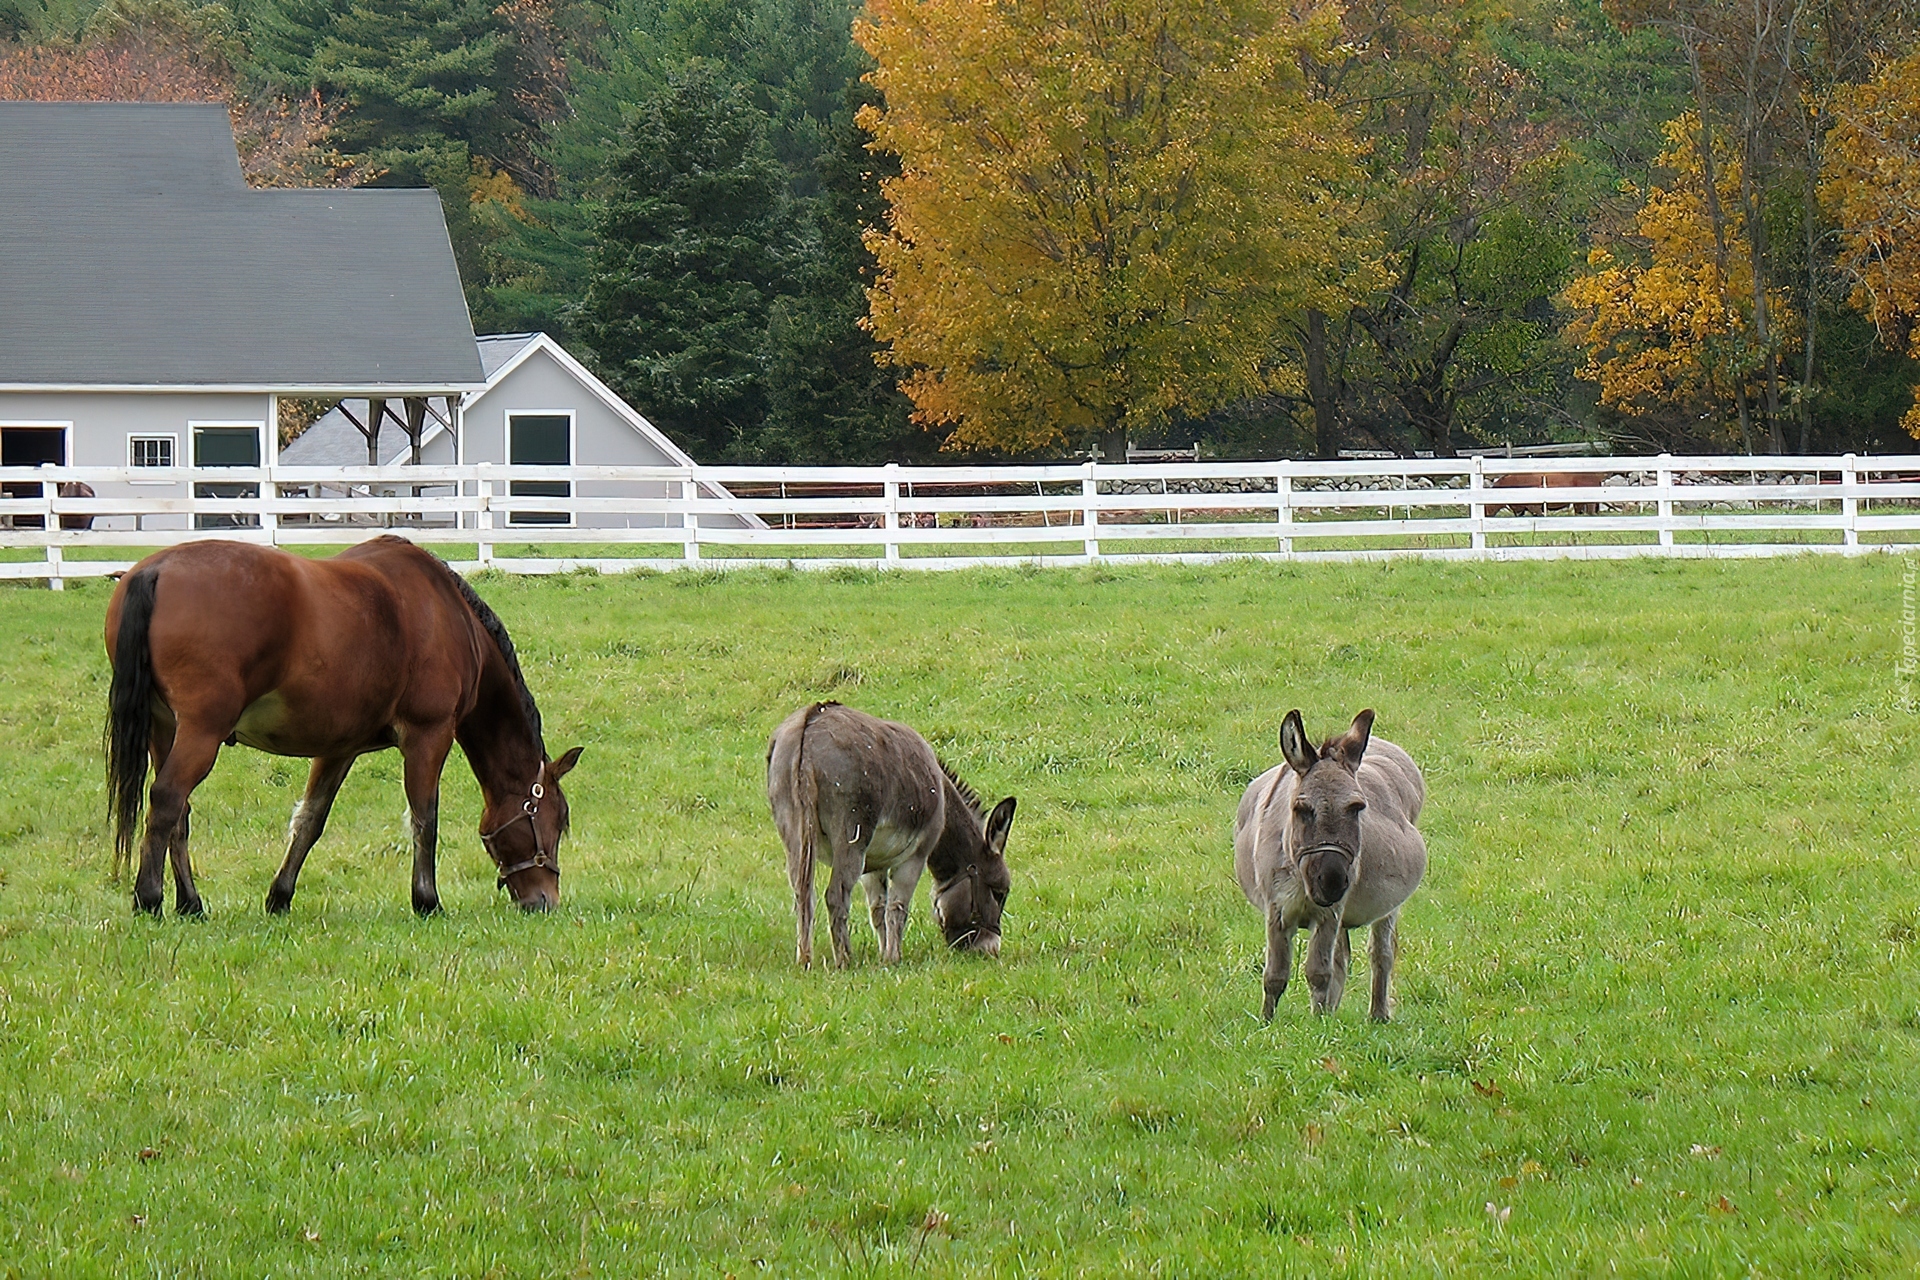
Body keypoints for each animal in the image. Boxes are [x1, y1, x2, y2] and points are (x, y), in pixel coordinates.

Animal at [105, 537, 579, 917]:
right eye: (556, 820)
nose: (545, 901)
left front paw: (280, 896)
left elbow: (311, 820)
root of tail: (155, 570)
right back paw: (149, 898)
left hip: (164, 730)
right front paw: (427, 901)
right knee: (168, 799)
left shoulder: (339, 748)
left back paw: (190, 903)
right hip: (201, 732)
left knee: (178, 813)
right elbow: (425, 818)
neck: (448, 614)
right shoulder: (429, 735)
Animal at [768, 706, 1021, 967]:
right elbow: (898, 907)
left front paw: (883, 957)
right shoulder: (915, 857)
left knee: (803, 893)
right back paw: (845, 961)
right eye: (999, 893)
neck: (940, 795)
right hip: (851, 837)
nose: (991, 951)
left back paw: (805, 960)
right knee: (836, 895)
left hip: (794, 834)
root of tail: (811, 720)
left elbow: (878, 908)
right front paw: (893, 958)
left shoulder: (873, 864)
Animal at [1228, 710, 1428, 1020]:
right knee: (1343, 958)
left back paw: (1378, 1016)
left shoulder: (1329, 913)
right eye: (1301, 810)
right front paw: (1267, 1022)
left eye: (1358, 808)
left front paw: (1318, 1023)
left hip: (1385, 907)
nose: (1332, 882)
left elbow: (1319, 972)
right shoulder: (1277, 910)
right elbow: (1275, 975)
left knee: (1380, 954)